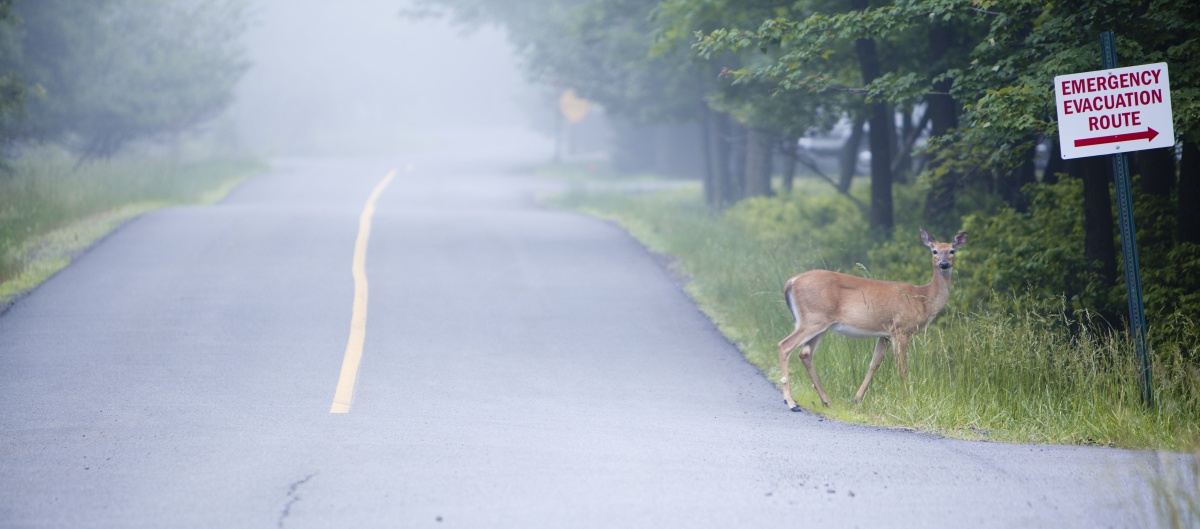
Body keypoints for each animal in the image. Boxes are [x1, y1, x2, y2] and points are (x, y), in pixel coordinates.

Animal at [777, 226, 964, 407]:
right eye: (934, 250)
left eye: (952, 250)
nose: (944, 264)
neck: (923, 300)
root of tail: (791, 282)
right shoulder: (901, 330)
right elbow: (901, 367)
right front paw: (907, 399)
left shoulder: (885, 335)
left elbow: (874, 363)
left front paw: (858, 398)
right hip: (814, 318)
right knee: (784, 345)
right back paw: (790, 401)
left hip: (819, 323)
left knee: (805, 353)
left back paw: (825, 400)